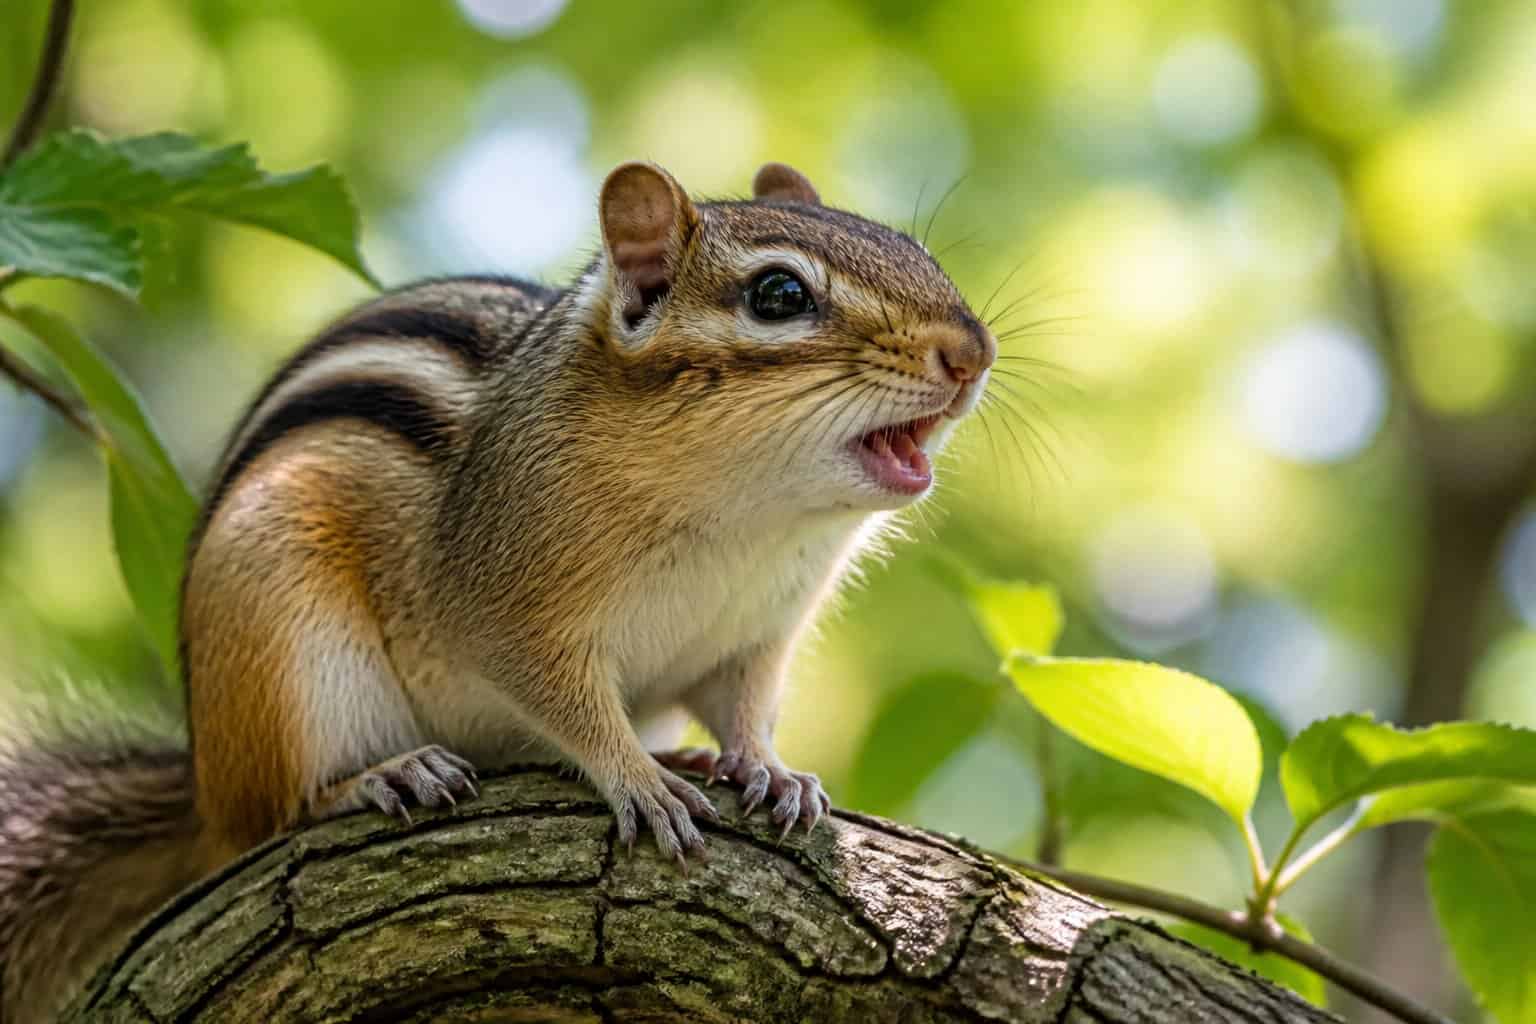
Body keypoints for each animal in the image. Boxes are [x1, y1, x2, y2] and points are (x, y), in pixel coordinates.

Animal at [0, 159, 994, 1021]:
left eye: (918, 253)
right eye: (779, 296)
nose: (972, 353)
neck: (750, 521)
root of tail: (202, 778)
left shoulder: (754, 636)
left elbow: (745, 707)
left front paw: (768, 770)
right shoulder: (507, 607)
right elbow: (564, 700)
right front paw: (638, 780)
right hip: (277, 627)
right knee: (265, 817)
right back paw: (379, 777)